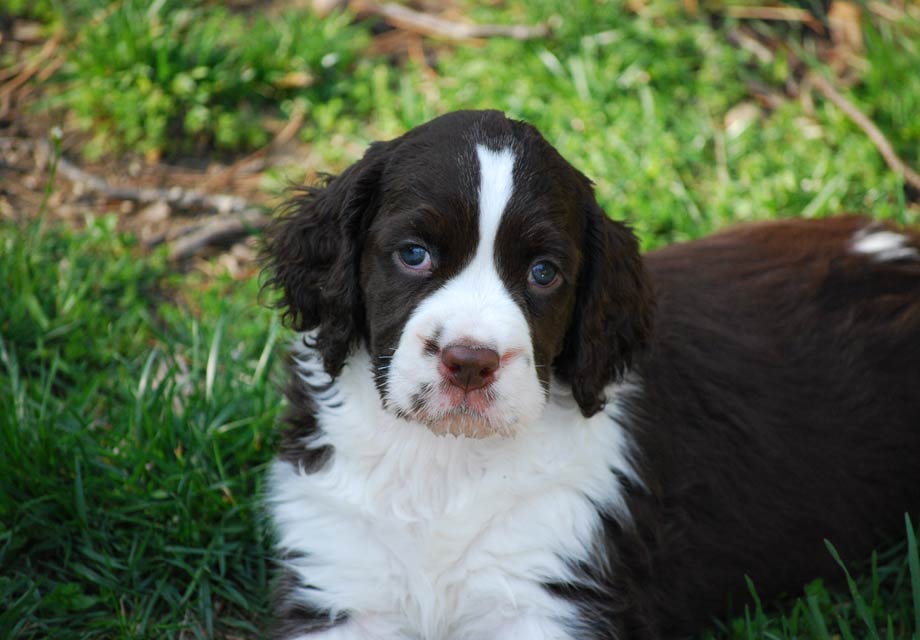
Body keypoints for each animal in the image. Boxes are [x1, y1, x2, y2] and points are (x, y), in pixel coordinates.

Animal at [260, 111, 920, 640]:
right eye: (413, 254)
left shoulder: (555, 592)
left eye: (544, 272)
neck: (447, 464)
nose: (470, 362)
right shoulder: (341, 578)